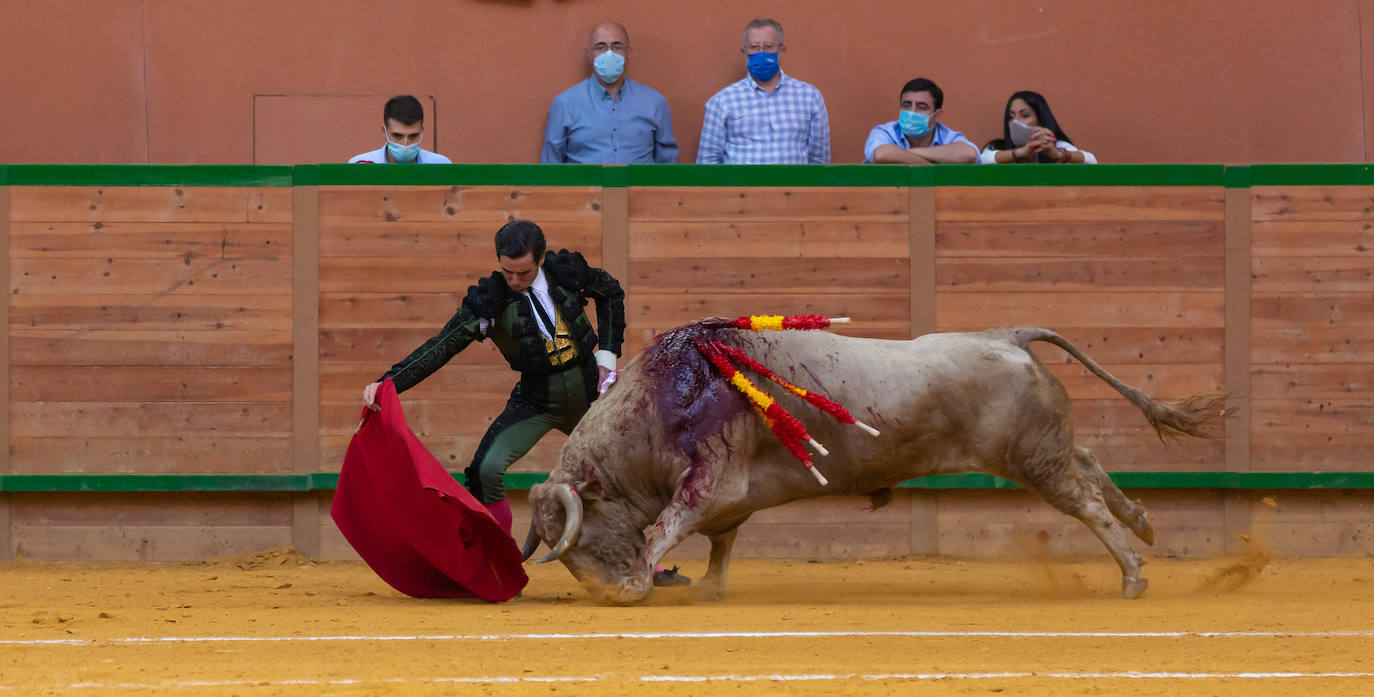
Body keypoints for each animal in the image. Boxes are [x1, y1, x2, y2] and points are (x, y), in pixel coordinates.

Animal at [519, 321, 1220, 599]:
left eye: (582, 540)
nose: (607, 594)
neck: (663, 401)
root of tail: (1006, 335)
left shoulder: (712, 481)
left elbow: (666, 527)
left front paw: (640, 581)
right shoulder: (728, 500)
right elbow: (720, 542)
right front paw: (710, 589)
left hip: (1032, 461)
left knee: (1088, 503)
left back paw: (1133, 576)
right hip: (1044, 449)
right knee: (1092, 464)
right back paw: (1144, 526)